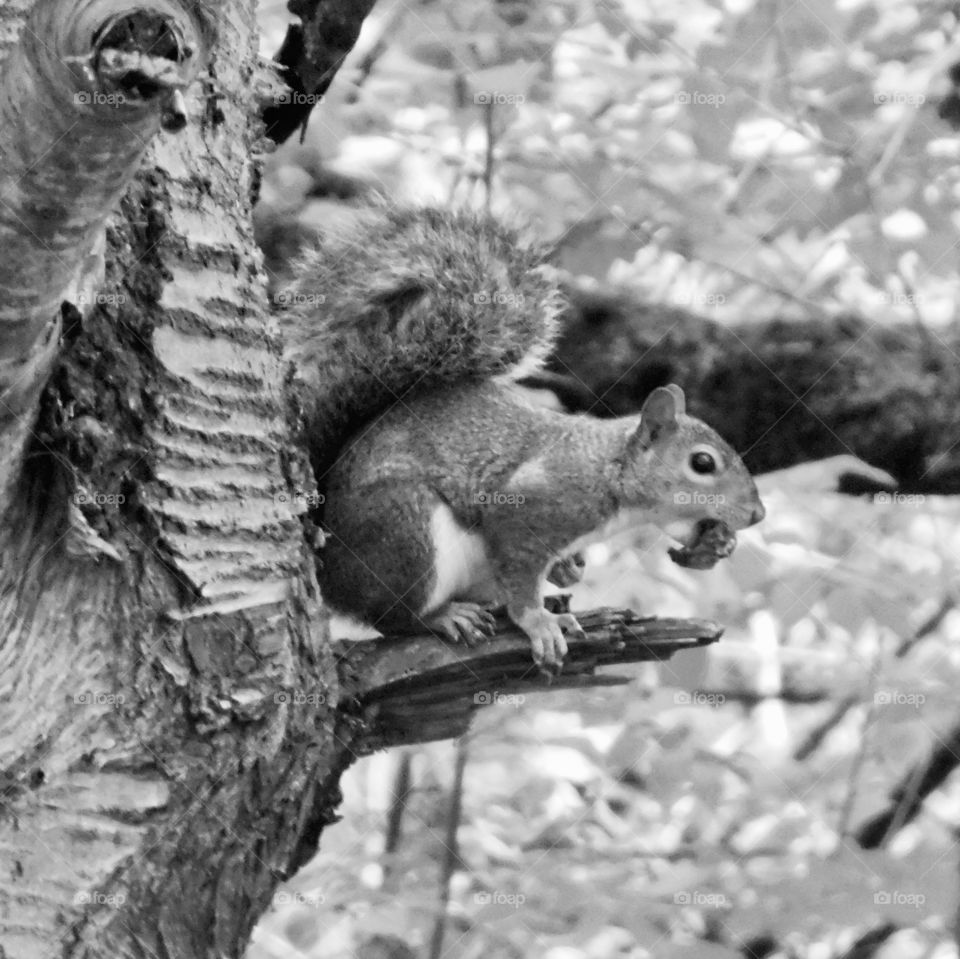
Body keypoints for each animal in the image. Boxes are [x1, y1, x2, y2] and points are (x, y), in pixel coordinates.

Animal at [282, 206, 765, 670]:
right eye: (702, 463)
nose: (757, 514)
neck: (609, 468)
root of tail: (328, 568)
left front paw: (716, 545)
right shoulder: (533, 505)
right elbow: (518, 564)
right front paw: (537, 621)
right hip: (404, 531)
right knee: (391, 616)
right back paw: (443, 616)